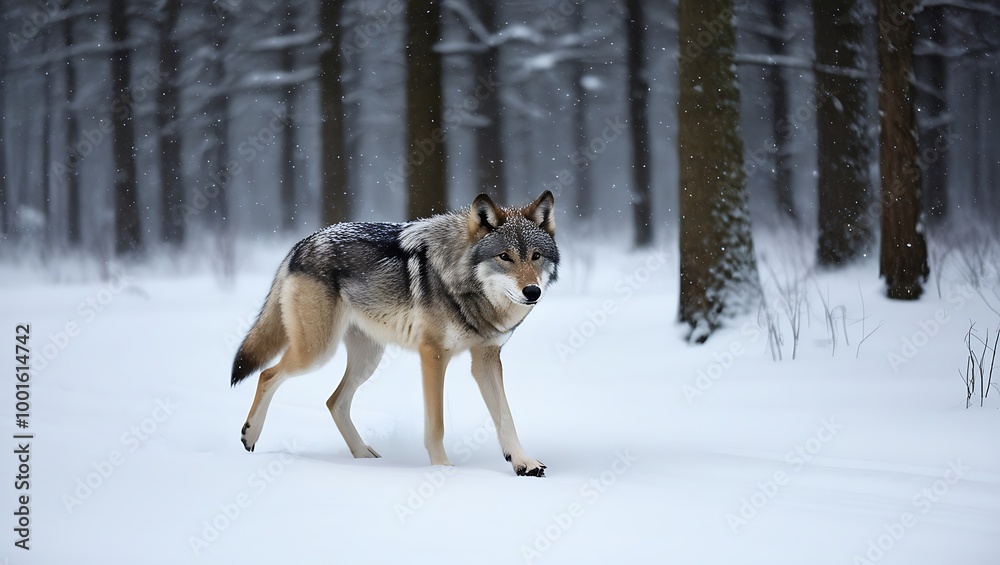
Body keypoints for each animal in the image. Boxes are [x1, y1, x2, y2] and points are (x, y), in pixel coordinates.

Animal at [231, 191, 559, 476]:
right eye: (505, 256)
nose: (532, 291)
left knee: (334, 401)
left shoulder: (486, 359)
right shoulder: (433, 355)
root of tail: (300, 244)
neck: (460, 280)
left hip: (367, 361)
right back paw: (250, 435)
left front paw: (523, 463)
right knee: (268, 375)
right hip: (317, 353)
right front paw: (443, 469)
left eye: (536, 256)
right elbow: (436, 424)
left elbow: (506, 416)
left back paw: (362, 455)